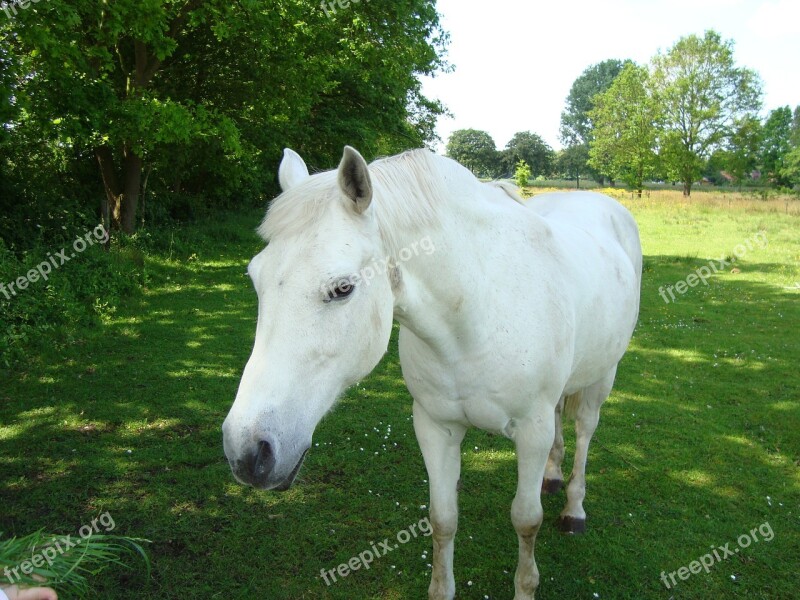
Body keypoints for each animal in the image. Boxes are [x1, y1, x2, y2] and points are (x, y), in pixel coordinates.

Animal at [222, 146, 640, 600]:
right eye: (254, 278)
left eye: (343, 288)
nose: (247, 451)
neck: (474, 316)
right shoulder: (435, 427)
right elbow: (442, 519)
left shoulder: (532, 430)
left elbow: (526, 520)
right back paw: (552, 477)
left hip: (603, 378)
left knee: (584, 431)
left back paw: (574, 509)